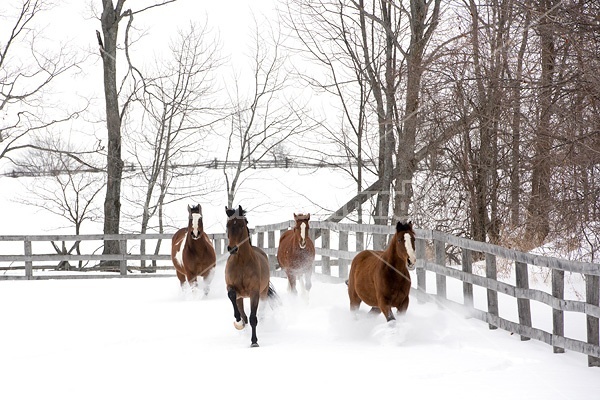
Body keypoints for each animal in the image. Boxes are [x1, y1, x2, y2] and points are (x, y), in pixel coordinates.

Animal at [225, 206, 278, 346]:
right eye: (228, 225)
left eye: (241, 225)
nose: (232, 249)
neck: (241, 263)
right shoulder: (232, 289)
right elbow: (232, 296)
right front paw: (238, 321)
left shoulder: (254, 292)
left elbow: (253, 317)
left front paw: (254, 341)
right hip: (242, 297)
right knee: (244, 314)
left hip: (263, 293)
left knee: (261, 313)